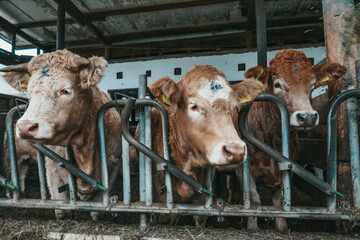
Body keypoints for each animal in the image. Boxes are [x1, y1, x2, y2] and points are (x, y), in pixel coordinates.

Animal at [0, 49, 122, 221]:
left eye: (65, 90)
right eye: (29, 94)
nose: (24, 127)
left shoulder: (113, 164)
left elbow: (97, 211)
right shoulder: (53, 168)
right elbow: (62, 210)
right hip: (13, 155)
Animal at [148, 64, 262, 228]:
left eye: (233, 107)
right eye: (194, 106)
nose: (236, 151)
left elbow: (200, 217)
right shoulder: (159, 185)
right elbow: (167, 216)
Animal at [236, 49, 346, 232]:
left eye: (312, 84)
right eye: (277, 84)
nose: (307, 117)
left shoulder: (289, 163)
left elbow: (281, 200)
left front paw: (282, 226)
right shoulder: (246, 168)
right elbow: (254, 199)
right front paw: (252, 227)